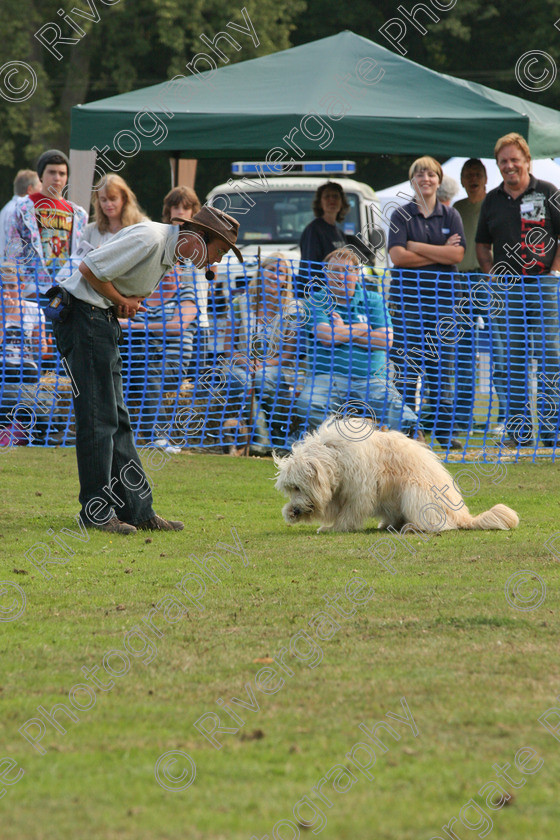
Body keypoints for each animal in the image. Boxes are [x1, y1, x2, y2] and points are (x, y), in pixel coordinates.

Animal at [274, 418, 520, 532]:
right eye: (291, 488)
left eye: (297, 486)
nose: (296, 509)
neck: (333, 454)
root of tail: (463, 516)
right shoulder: (339, 490)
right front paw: (289, 513)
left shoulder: (360, 491)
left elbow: (349, 513)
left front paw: (335, 528)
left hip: (413, 490)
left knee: (440, 524)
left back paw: (412, 527)